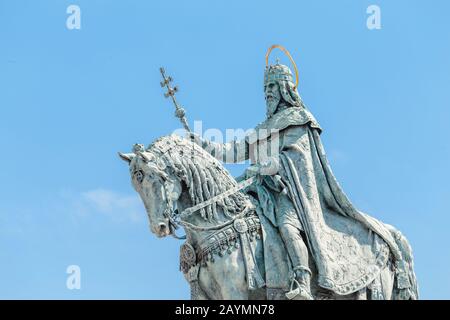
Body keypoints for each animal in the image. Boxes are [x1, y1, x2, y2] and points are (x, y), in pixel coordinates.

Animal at [119, 134, 418, 298]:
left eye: (154, 176)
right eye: (135, 184)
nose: (159, 227)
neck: (217, 222)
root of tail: (392, 234)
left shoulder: (236, 294)